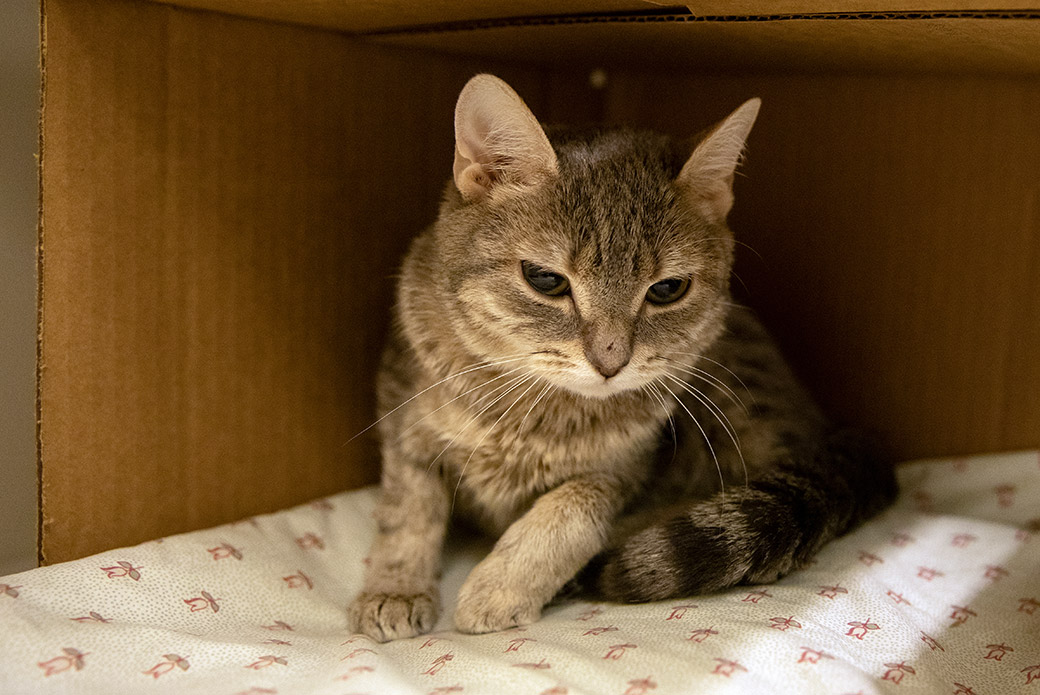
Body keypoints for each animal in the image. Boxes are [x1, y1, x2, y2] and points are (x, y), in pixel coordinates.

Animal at [347, 74, 897, 641]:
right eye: (545, 279)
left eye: (668, 290)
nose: (610, 362)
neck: (532, 413)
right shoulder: (402, 419)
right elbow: (408, 512)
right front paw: (394, 589)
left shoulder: (627, 470)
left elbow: (573, 508)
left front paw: (500, 587)